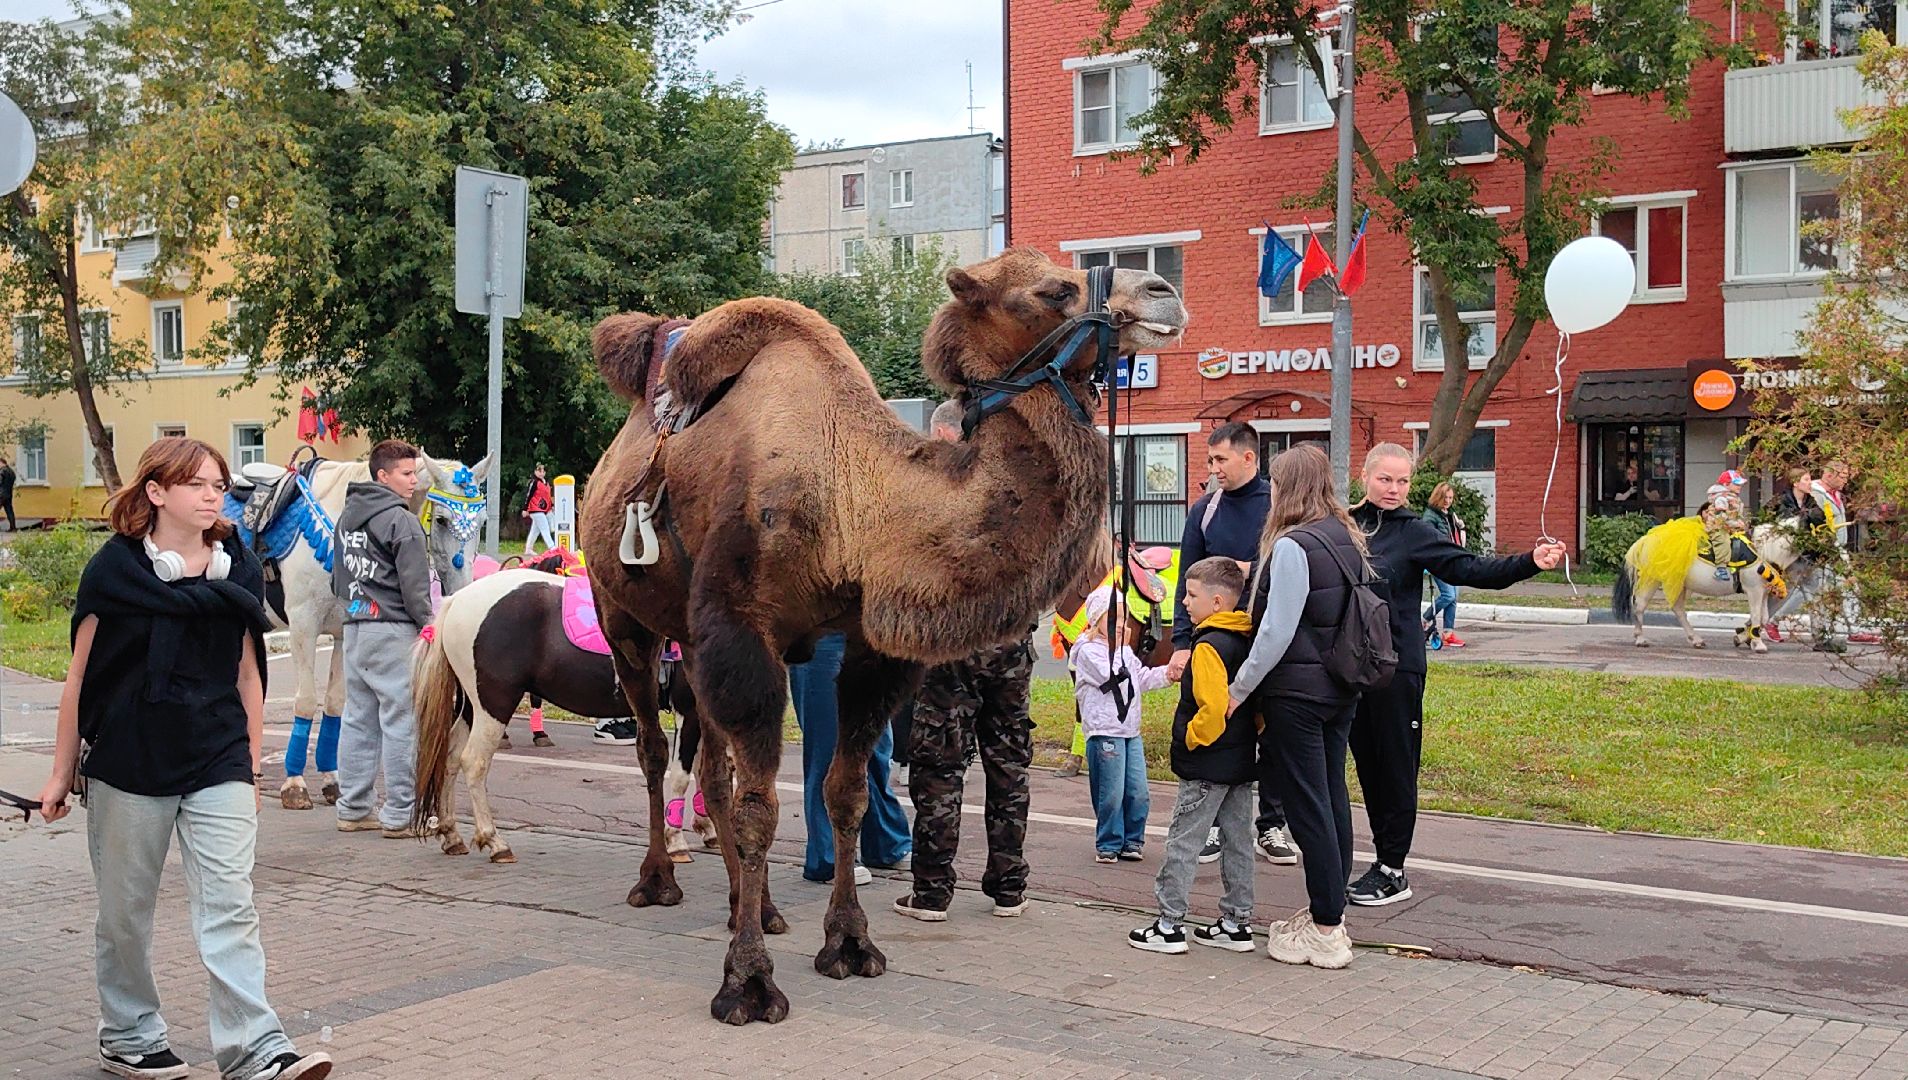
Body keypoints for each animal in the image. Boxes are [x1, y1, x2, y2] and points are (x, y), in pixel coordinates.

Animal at [576, 248, 1187, 1025]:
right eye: (1053, 290)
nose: (1164, 291)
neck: (854, 504)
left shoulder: (872, 647)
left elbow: (844, 792)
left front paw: (848, 943)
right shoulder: (742, 629)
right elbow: (761, 807)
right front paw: (747, 982)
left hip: (692, 642)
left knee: (711, 767)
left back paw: (758, 905)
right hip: (624, 618)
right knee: (656, 750)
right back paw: (658, 880)